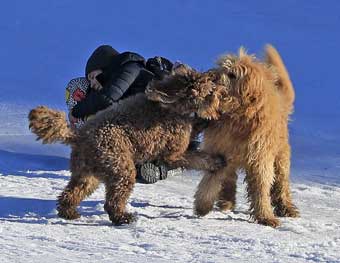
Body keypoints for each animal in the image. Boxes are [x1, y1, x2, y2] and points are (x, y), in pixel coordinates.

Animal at [28, 65, 226, 225]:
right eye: (211, 90)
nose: (222, 91)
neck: (174, 105)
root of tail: (78, 136)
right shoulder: (173, 154)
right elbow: (197, 158)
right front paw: (216, 161)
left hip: (87, 174)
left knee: (70, 194)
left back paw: (69, 212)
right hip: (120, 168)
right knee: (112, 202)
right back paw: (123, 218)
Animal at [195, 44, 298, 227]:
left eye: (232, 74)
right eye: (220, 68)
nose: (210, 76)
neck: (237, 117)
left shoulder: (261, 158)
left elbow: (261, 187)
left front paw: (265, 216)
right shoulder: (219, 151)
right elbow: (210, 181)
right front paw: (202, 205)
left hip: (280, 157)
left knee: (281, 183)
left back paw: (286, 208)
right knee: (229, 179)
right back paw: (226, 201)